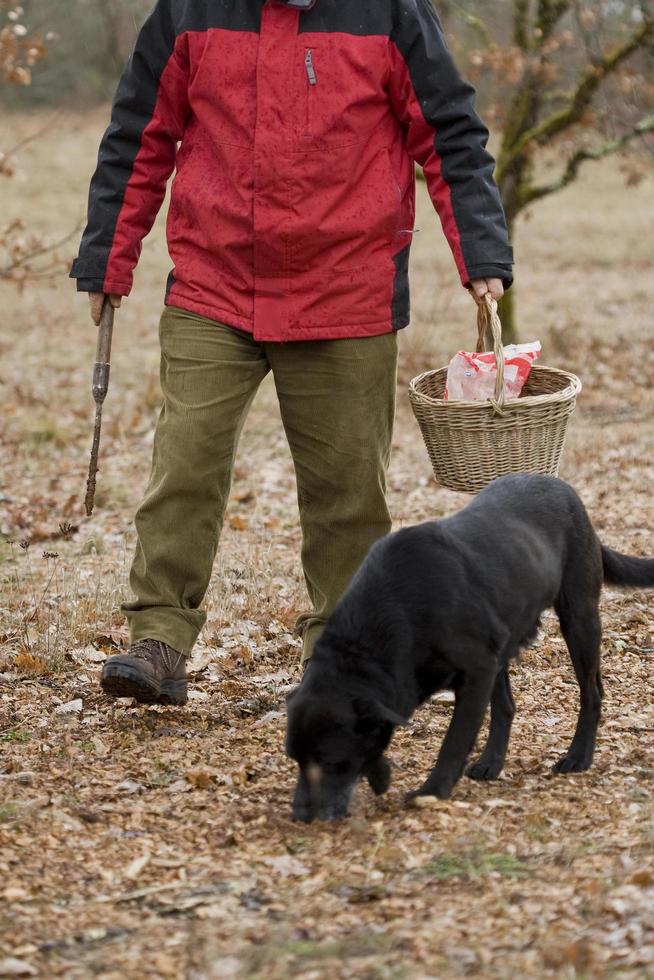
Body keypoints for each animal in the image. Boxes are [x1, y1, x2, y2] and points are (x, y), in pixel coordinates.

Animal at [288, 474, 654, 820]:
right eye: (296, 760)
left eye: (329, 761)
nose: (301, 815)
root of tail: (562, 488)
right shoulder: (481, 665)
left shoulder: (476, 670)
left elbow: (455, 740)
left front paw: (432, 791)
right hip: (501, 643)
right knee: (507, 705)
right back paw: (492, 762)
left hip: (578, 619)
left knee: (592, 693)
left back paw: (579, 756)